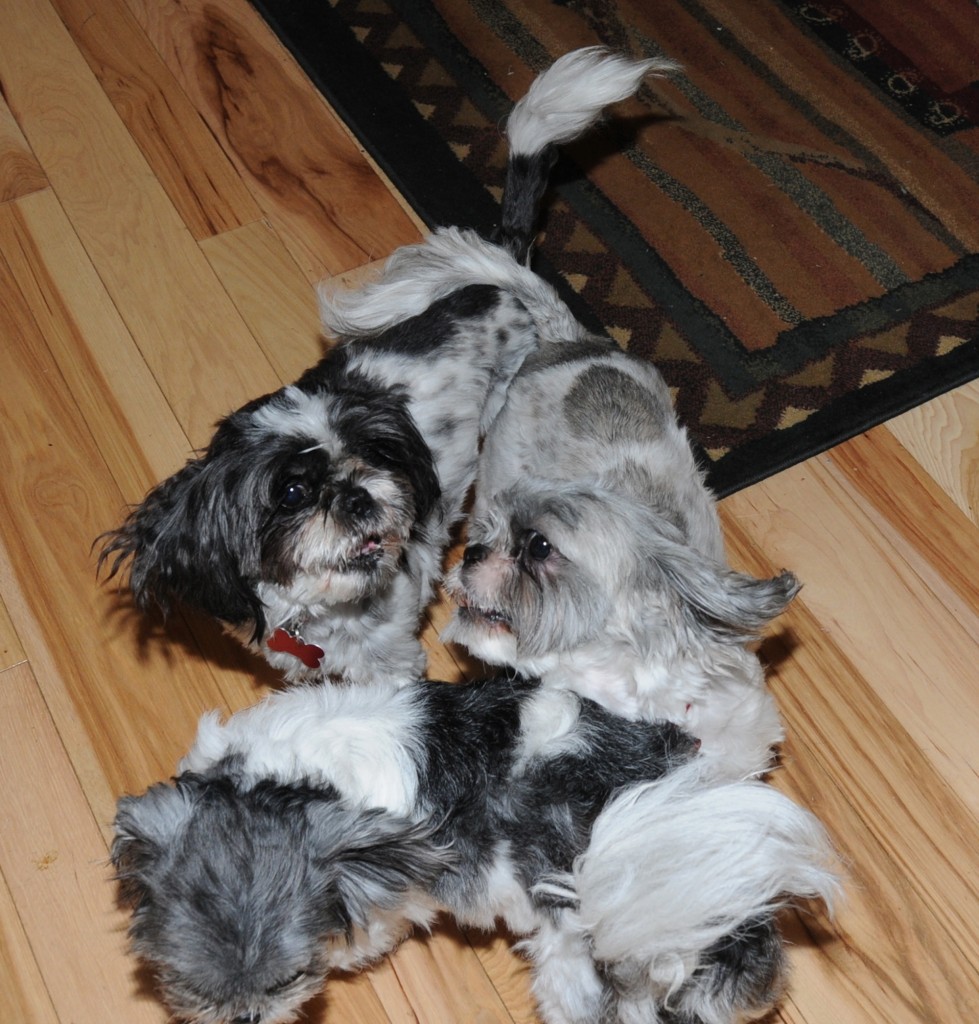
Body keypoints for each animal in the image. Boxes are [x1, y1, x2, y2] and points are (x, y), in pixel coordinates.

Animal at [99, 48, 667, 688]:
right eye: (292, 491)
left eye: (377, 455)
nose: (357, 496)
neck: (319, 611)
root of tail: (500, 278)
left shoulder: (392, 661)